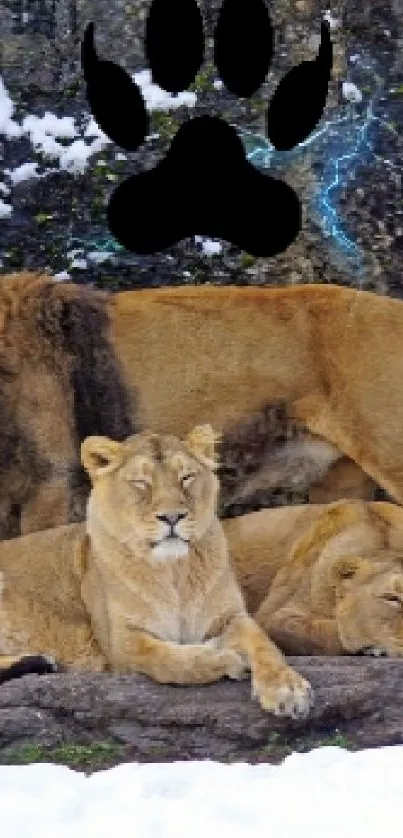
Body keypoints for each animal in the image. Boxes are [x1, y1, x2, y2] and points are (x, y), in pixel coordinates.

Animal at [0, 430, 312, 720]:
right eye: (141, 483)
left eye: (186, 477)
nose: (172, 517)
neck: (174, 571)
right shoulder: (121, 642)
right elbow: (169, 661)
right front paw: (222, 657)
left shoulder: (230, 616)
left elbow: (264, 644)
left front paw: (287, 689)